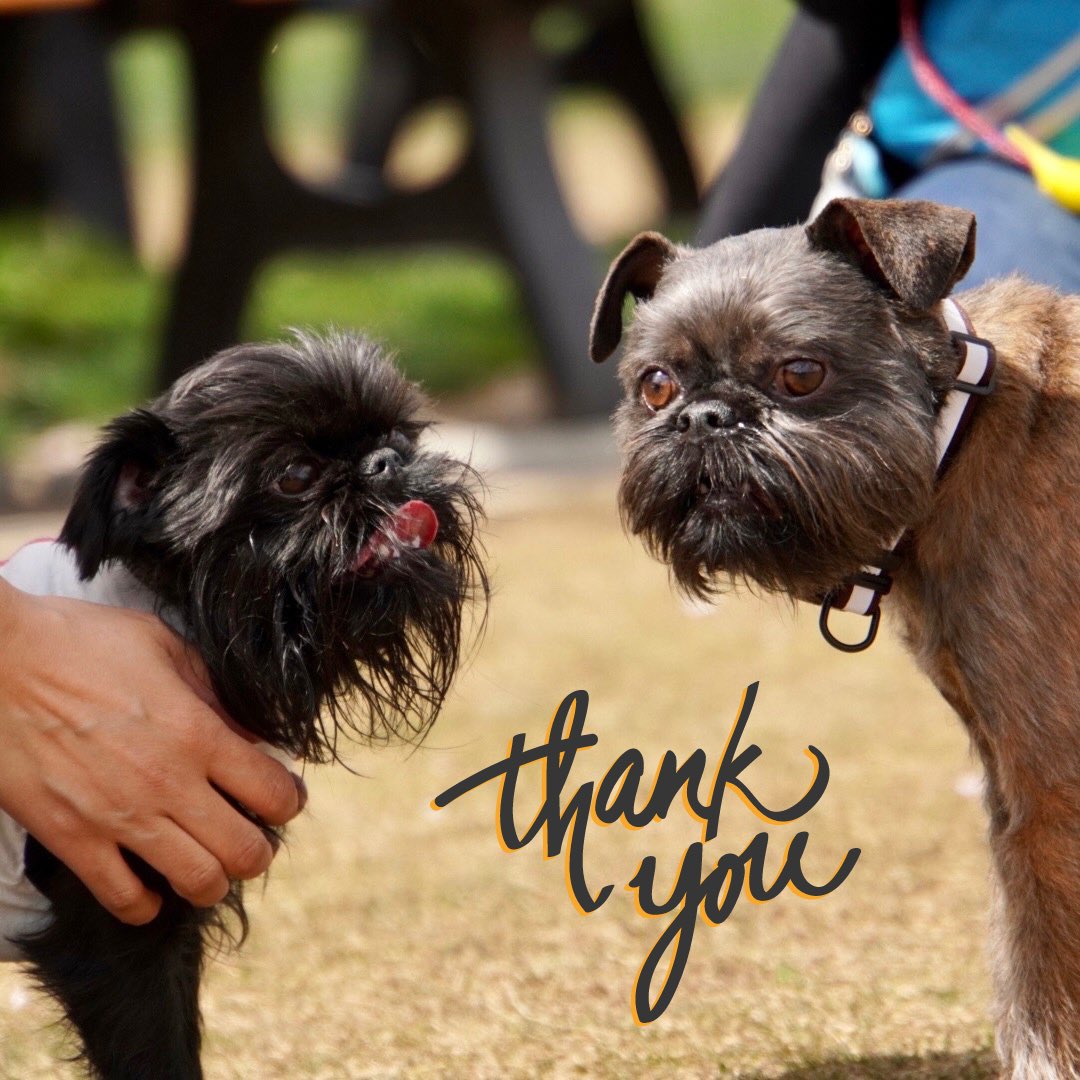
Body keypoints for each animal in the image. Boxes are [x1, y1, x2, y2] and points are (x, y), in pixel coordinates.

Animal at [591, 198, 1080, 1075]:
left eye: (800, 373)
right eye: (655, 386)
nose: (706, 417)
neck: (959, 432)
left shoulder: (1050, 789)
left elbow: (1046, 976)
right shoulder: (1010, 786)